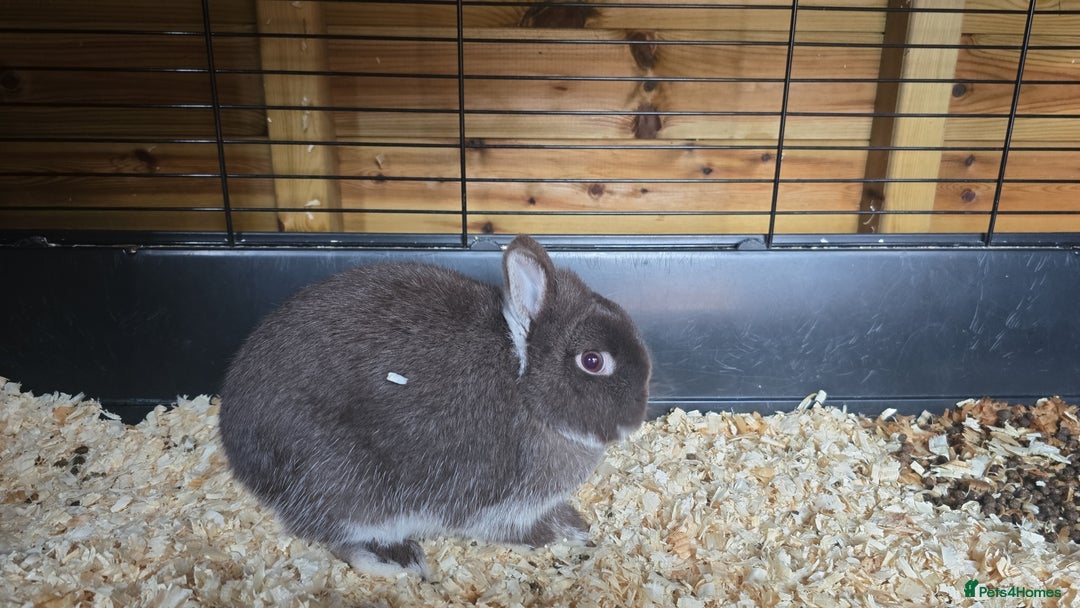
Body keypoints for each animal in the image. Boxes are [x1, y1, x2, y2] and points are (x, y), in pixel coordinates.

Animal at [218, 235, 651, 578]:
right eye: (592, 361)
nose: (635, 420)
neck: (524, 386)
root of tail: (236, 444)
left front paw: (573, 525)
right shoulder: (492, 502)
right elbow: (511, 529)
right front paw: (560, 534)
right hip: (344, 483)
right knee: (335, 535)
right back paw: (398, 560)